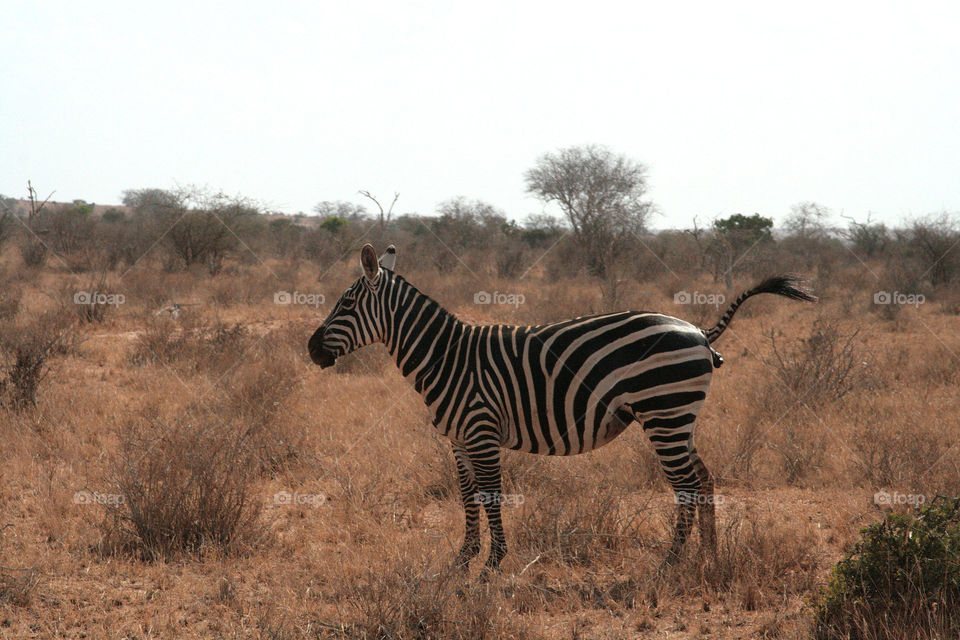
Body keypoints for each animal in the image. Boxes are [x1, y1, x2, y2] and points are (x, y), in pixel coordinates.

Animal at [308, 244, 816, 572]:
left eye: (347, 303)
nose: (311, 349)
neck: (446, 356)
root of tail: (699, 331)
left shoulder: (481, 432)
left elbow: (491, 495)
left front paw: (492, 564)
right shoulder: (458, 440)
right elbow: (467, 497)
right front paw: (462, 561)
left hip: (664, 415)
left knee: (688, 485)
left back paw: (672, 563)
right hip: (678, 418)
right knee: (704, 479)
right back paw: (709, 559)